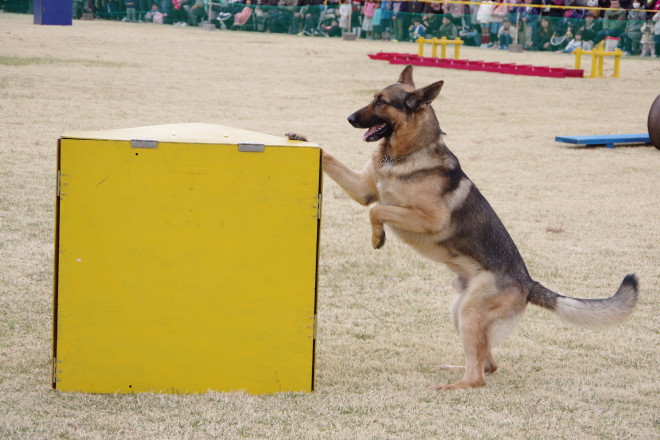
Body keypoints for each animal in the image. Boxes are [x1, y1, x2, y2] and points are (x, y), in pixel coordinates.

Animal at [288, 65, 639, 390]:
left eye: (382, 102)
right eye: (372, 97)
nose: (349, 118)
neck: (405, 154)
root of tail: (528, 283)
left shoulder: (426, 217)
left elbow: (378, 210)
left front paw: (378, 238)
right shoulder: (363, 189)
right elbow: (339, 166)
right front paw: (301, 139)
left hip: (470, 315)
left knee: (478, 376)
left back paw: (453, 385)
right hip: (460, 313)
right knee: (488, 362)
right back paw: (456, 368)